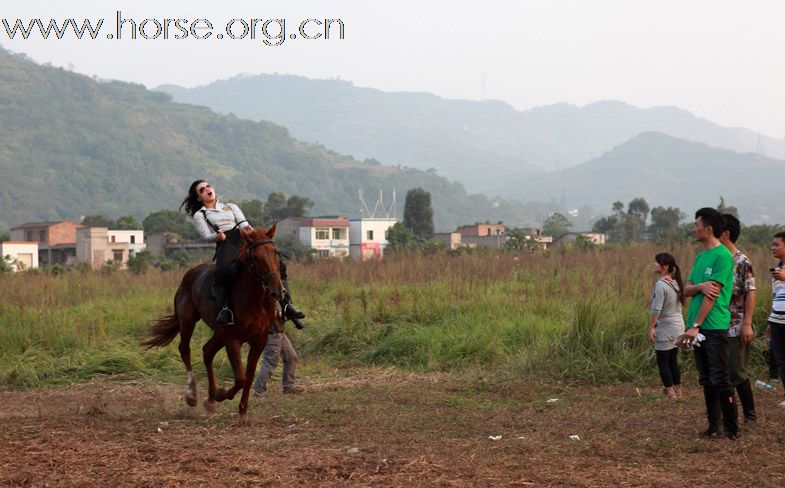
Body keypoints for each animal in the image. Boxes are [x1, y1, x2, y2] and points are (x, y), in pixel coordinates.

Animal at [142, 225, 284, 420]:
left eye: (275, 252)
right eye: (255, 257)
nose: (277, 290)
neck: (254, 301)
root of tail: (191, 273)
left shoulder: (259, 340)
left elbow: (249, 376)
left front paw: (242, 412)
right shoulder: (233, 339)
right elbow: (241, 378)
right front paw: (222, 394)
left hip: (219, 332)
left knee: (207, 351)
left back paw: (209, 400)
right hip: (188, 321)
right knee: (185, 349)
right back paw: (193, 395)